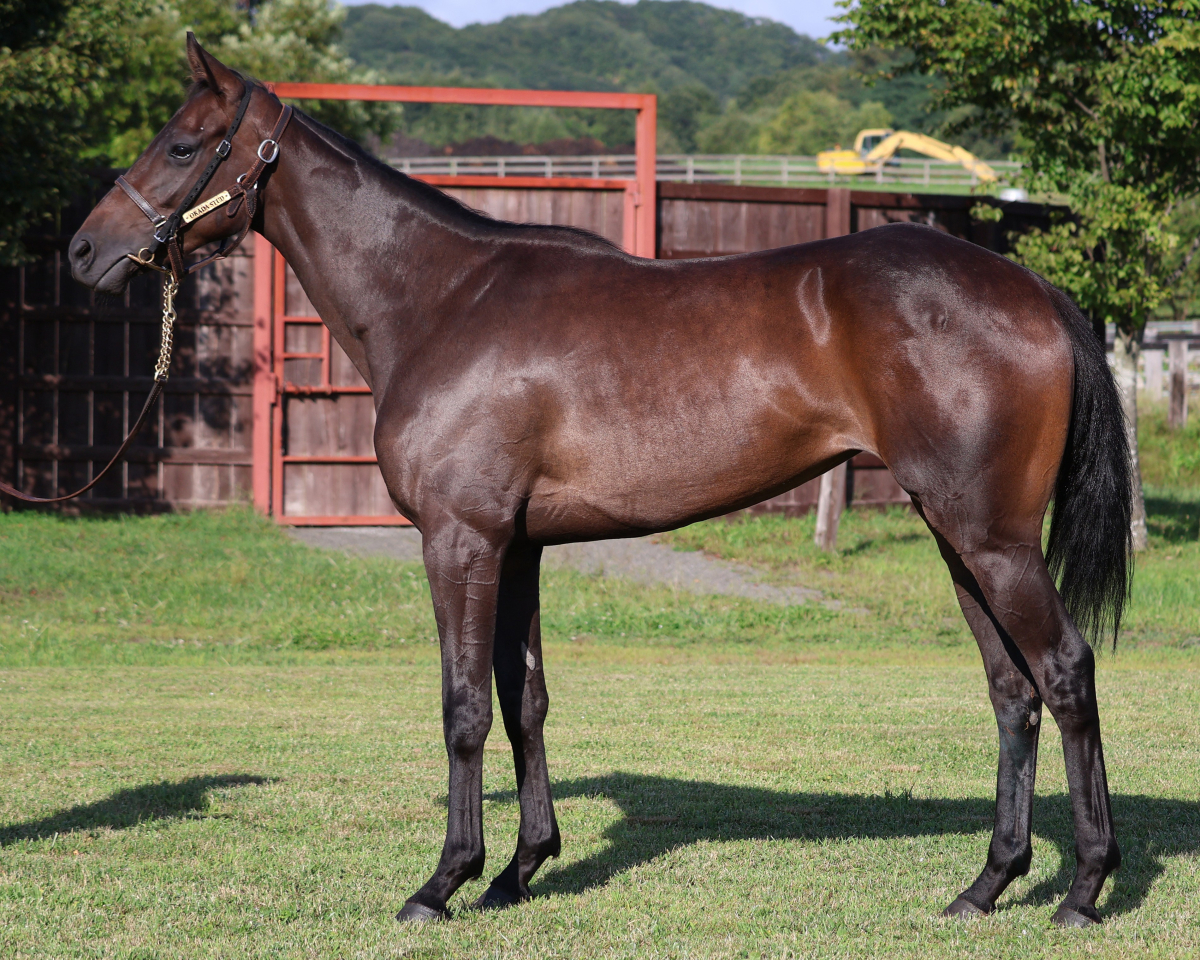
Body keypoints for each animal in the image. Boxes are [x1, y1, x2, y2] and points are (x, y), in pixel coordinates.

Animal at [67, 36, 1132, 928]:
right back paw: (986, 886)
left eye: (182, 144)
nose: (83, 251)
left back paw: (1084, 890)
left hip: (992, 539)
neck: (443, 300)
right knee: (1011, 691)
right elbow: (523, 699)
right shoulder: (519, 546)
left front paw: (443, 881)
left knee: (1066, 672)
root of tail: (1034, 290)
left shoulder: (460, 540)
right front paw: (519, 869)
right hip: (957, 535)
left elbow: (463, 706)